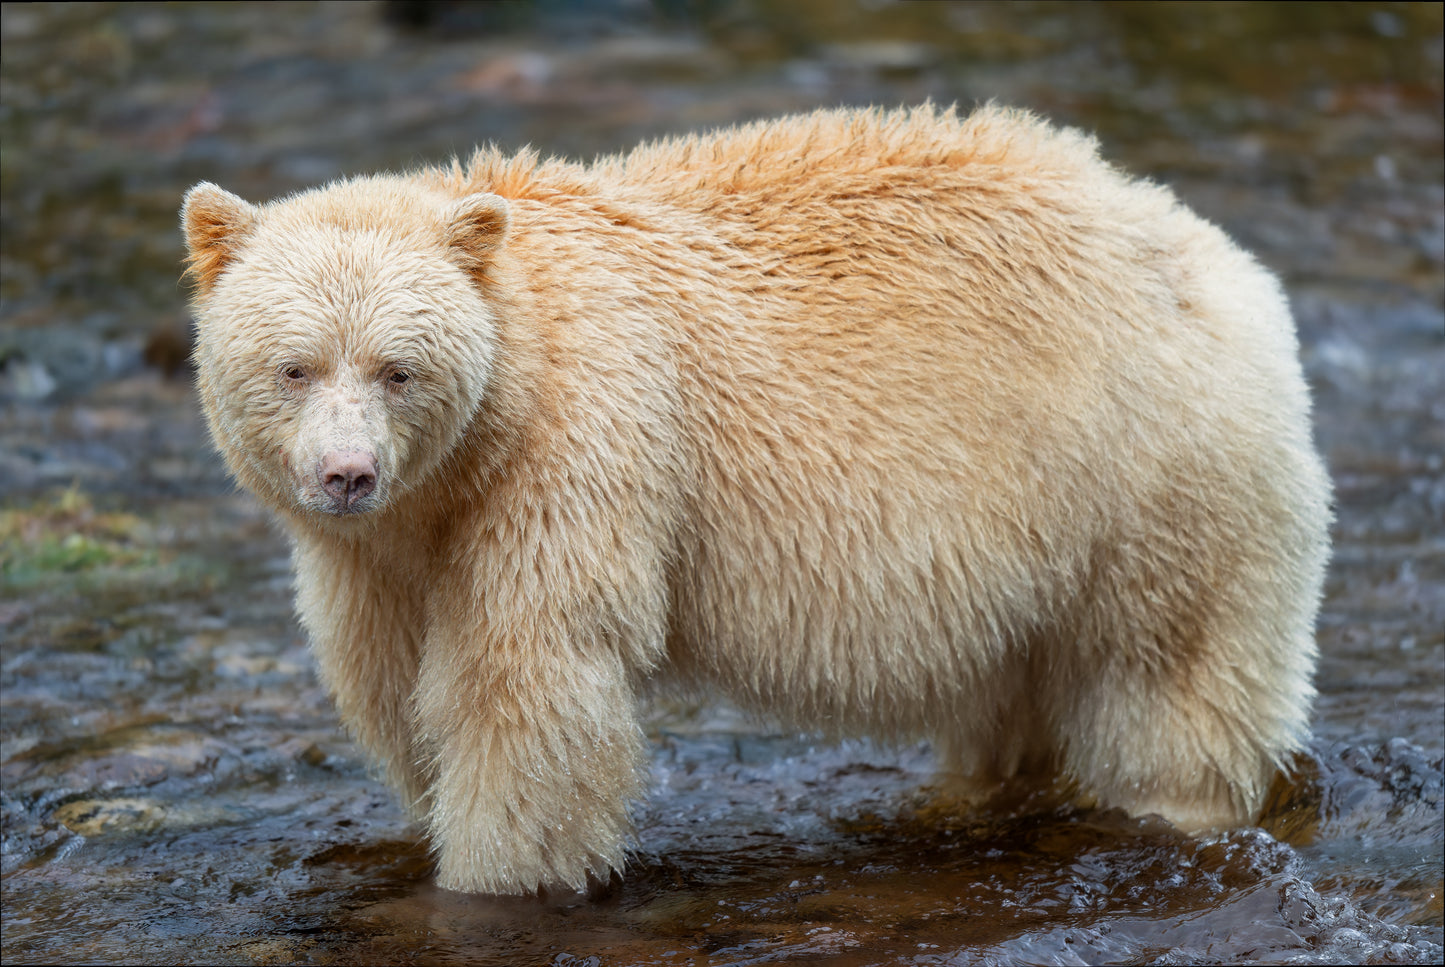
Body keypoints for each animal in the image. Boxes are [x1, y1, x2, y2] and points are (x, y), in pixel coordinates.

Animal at [180, 104, 1329, 890]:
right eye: (293, 366)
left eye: (397, 369)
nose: (346, 474)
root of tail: (1216, 259)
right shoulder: (382, 556)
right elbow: (393, 681)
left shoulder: (577, 456)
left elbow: (530, 684)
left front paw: (495, 878)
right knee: (1011, 696)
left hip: (1151, 475)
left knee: (1168, 682)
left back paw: (1175, 806)